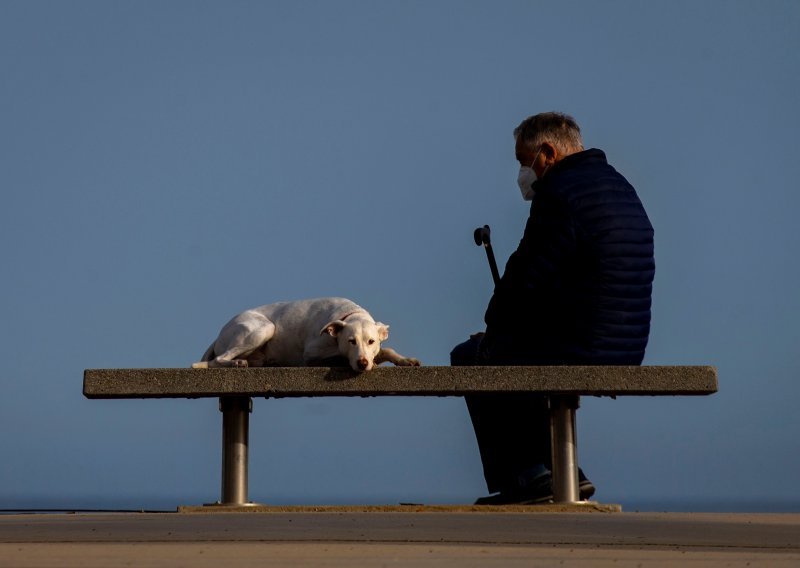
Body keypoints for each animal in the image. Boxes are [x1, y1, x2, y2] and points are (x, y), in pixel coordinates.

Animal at [192, 298, 418, 372]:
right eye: (350, 341)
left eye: (371, 341)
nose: (363, 364)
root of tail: (219, 334)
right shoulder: (312, 353)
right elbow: (338, 356)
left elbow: (387, 349)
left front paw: (405, 360)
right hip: (263, 328)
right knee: (219, 359)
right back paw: (236, 363)